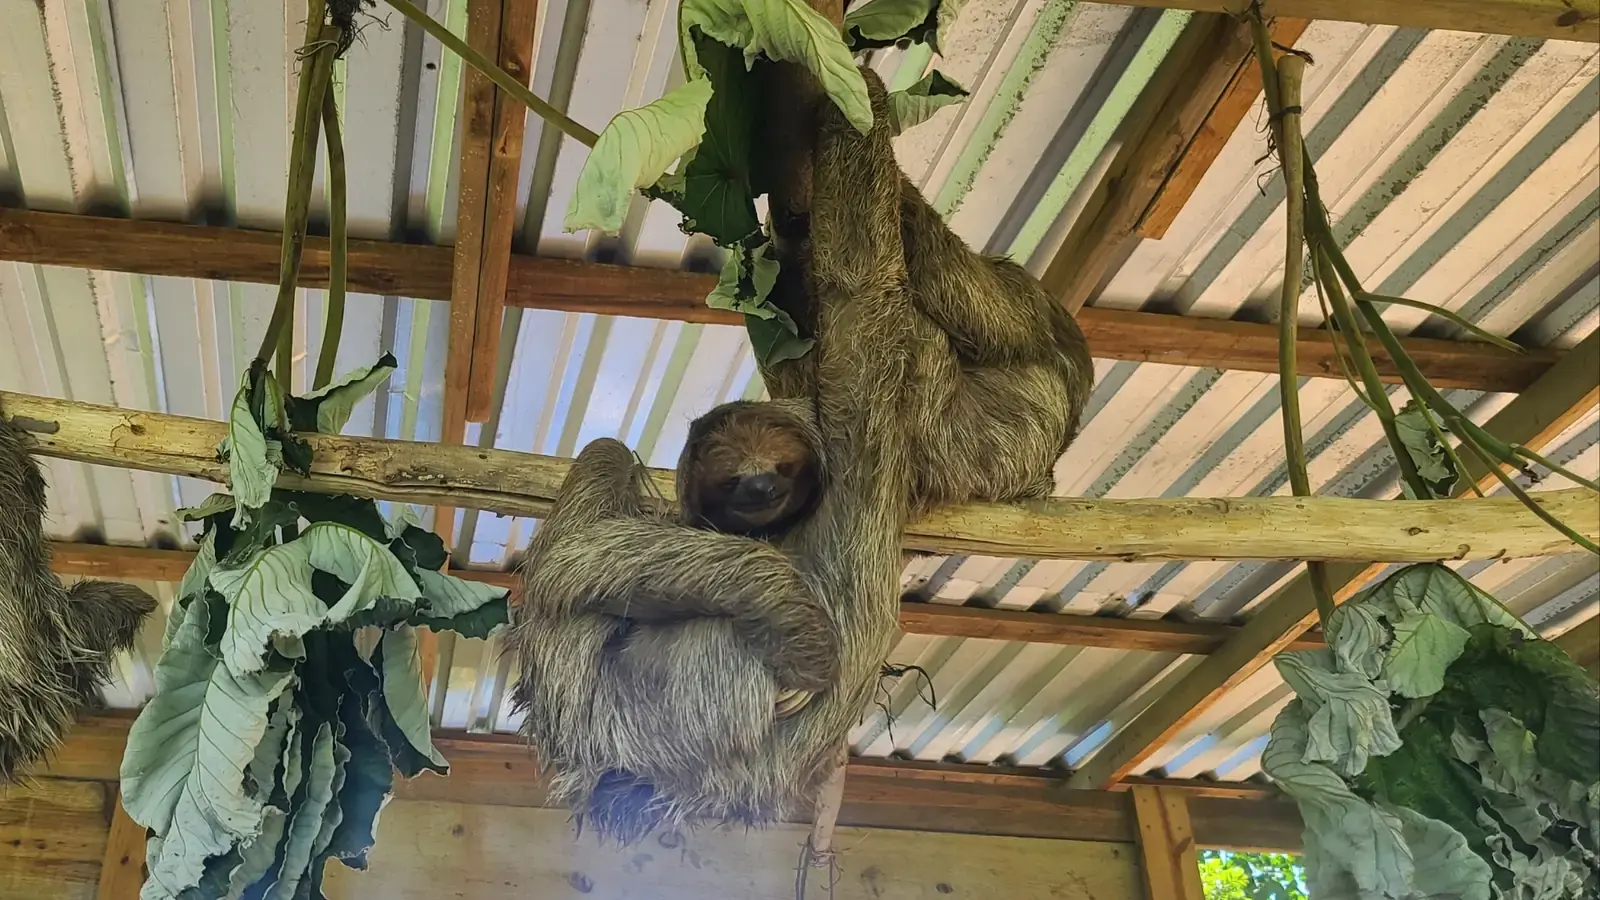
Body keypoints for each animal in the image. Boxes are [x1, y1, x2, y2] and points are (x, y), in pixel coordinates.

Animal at [509, 67, 916, 844]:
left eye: (779, 468)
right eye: (732, 479)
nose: (759, 488)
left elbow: (861, 294)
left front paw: (856, 87)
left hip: (584, 709)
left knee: (597, 476)